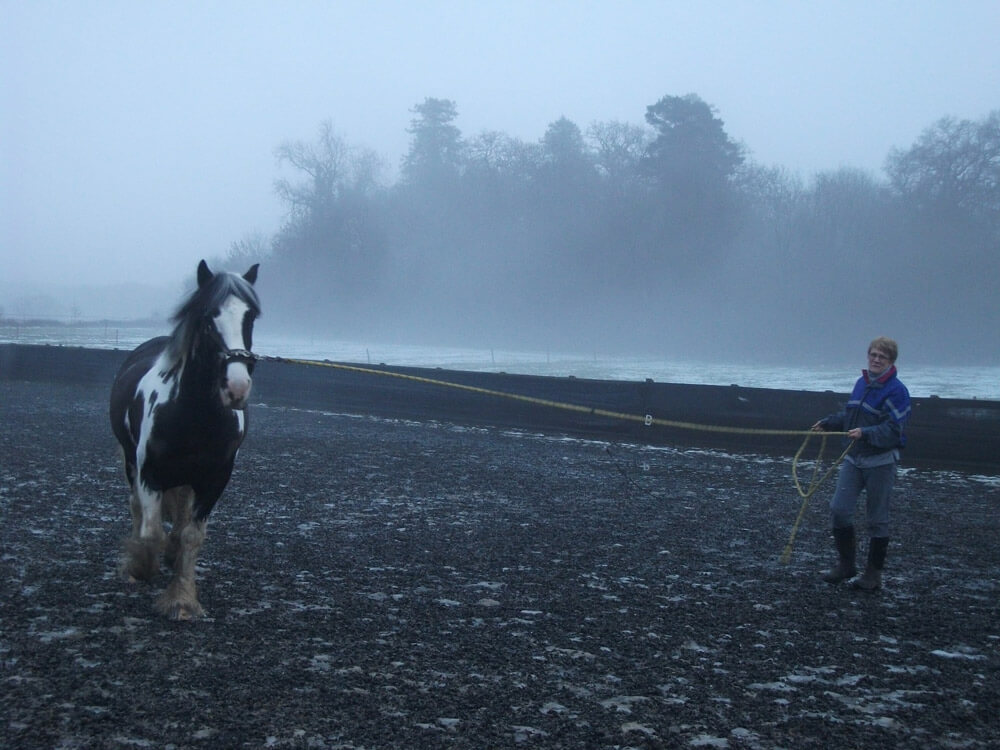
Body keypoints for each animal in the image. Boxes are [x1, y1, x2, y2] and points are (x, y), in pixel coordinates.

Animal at [109, 262, 262, 620]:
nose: (236, 387)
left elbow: (192, 536)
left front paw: (181, 599)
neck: (194, 415)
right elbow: (151, 533)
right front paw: (140, 566)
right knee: (136, 508)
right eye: (207, 317)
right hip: (130, 462)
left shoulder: (214, 479)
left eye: (250, 316)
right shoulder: (149, 474)